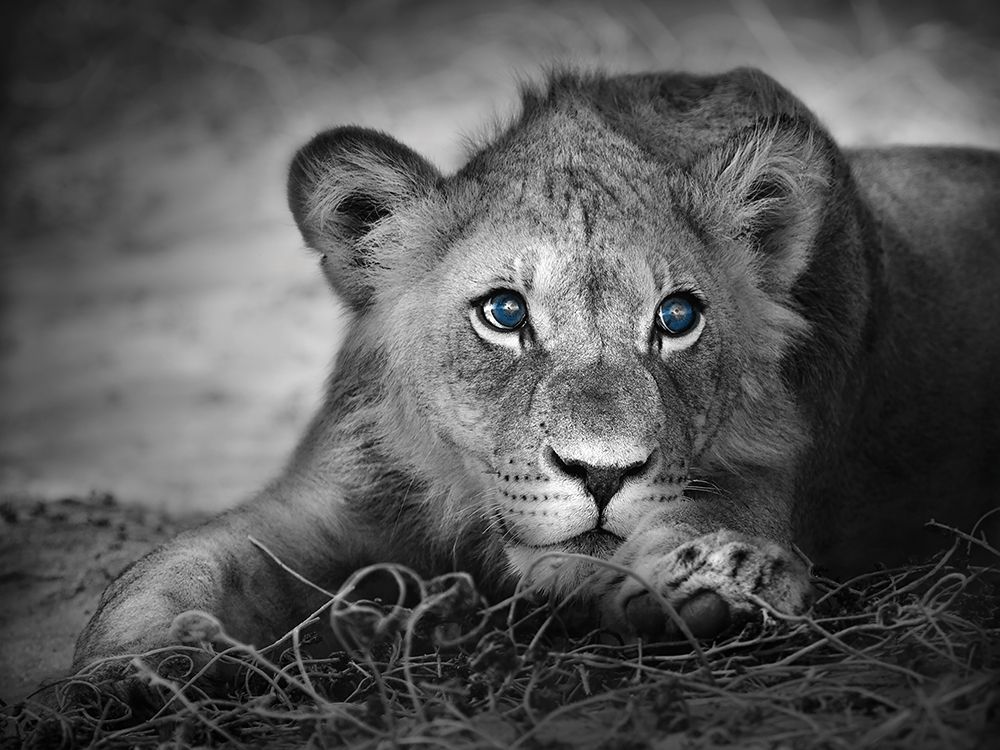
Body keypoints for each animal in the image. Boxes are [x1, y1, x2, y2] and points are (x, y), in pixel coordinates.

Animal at [72, 68, 1000, 694]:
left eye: (676, 318)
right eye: (504, 313)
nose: (602, 473)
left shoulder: (761, 480)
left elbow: (697, 530)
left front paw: (720, 584)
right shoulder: (326, 500)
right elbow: (174, 567)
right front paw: (134, 672)